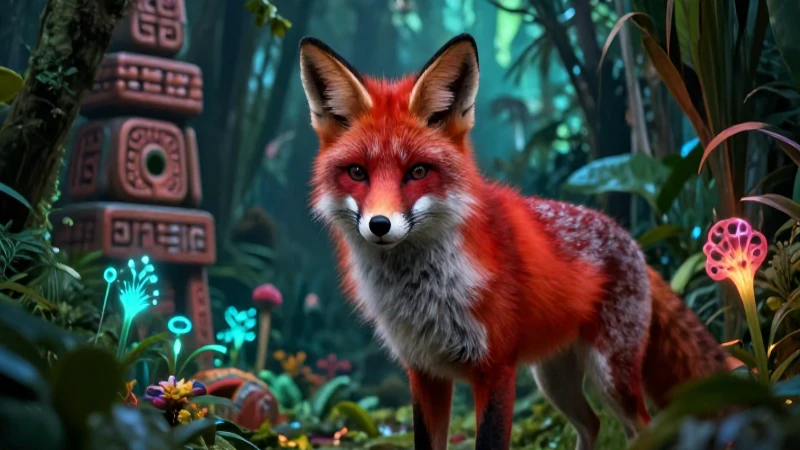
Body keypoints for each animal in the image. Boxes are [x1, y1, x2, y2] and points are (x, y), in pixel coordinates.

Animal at [298, 34, 729, 450]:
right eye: (357, 172)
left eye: (418, 172)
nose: (380, 224)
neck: (425, 295)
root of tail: (633, 242)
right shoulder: (424, 372)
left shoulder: (495, 369)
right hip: (552, 379)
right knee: (590, 424)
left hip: (611, 378)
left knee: (643, 428)